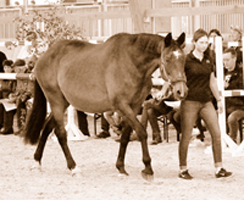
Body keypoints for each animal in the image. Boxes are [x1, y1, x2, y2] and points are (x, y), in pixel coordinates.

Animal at [23, 31, 187, 180]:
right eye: (167, 59)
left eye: (183, 58)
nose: (181, 91)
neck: (131, 62)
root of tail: (42, 58)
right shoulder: (122, 105)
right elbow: (141, 132)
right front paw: (147, 168)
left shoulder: (133, 107)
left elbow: (125, 136)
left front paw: (121, 167)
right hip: (56, 101)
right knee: (61, 134)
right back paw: (73, 167)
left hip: (63, 102)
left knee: (47, 128)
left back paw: (37, 162)